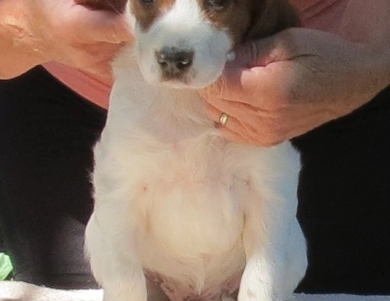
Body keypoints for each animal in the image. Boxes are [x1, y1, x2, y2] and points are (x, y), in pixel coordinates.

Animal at [85, 0, 308, 300]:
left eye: (218, 3)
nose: (172, 58)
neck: (186, 100)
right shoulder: (120, 188)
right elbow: (126, 281)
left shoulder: (269, 187)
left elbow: (261, 278)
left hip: (296, 247)